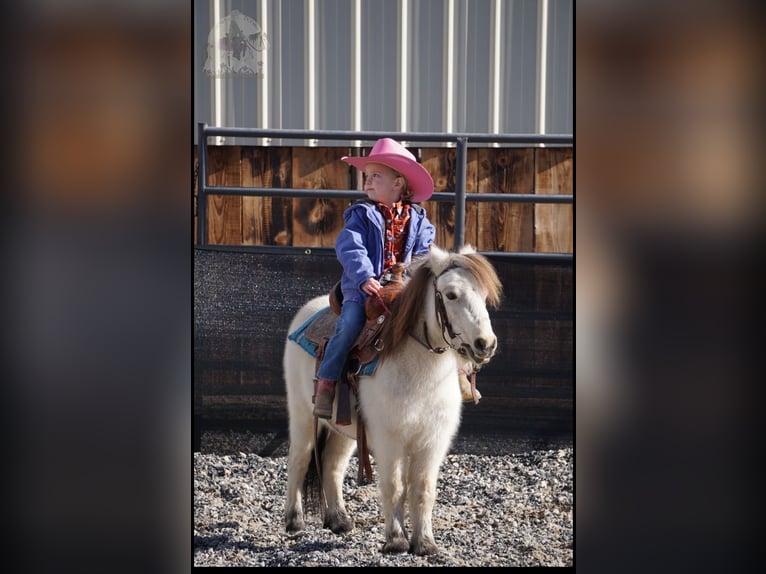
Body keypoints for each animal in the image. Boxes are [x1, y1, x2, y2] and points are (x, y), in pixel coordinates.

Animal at [282, 244, 504, 560]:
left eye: (484, 296)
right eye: (451, 294)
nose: (485, 344)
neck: (418, 368)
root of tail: (308, 312)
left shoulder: (433, 441)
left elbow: (423, 489)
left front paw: (425, 543)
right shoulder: (390, 439)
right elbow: (395, 486)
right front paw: (396, 540)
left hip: (343, 429)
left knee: (332, 465)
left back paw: (339, 520)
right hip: (302, 414)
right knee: (299, 460)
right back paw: (294, 521)